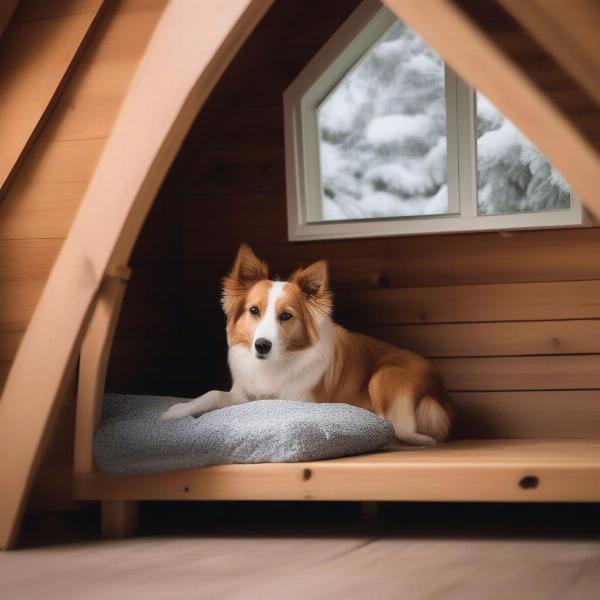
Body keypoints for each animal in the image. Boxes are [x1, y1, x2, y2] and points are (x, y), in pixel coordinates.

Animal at [162, 244, 452, 446]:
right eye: (254, 310)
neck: (276, 363)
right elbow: (213, 394)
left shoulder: (298, 399)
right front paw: (177, 410)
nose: (262, 346)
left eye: (286, 316)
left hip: (384, 376)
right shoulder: (243, 391)